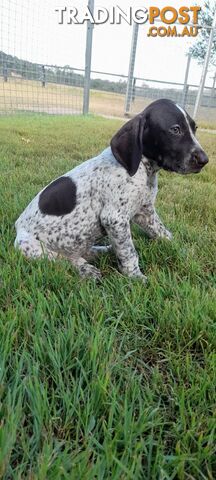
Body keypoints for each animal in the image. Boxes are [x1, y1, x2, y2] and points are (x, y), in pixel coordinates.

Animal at [14, 100, 208, 282]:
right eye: (175, 130)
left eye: (195, 128)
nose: (204, 160)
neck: (144, 169)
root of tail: (16, 228)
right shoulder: (115, 219)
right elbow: (129, 252)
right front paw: (136, 277)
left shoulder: (145, 212)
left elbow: (164, 233)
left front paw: (182, 251)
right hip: (29, 247)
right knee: (63, 259)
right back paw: (85, 269)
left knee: (84, 252)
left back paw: (104, 251)